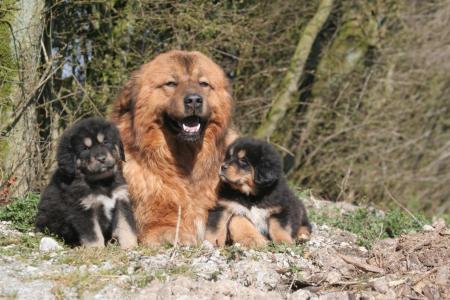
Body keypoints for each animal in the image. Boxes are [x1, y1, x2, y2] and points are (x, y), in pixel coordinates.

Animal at [35, 117, 137, 248]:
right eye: (85, 149)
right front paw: (97, 249)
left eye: (105, 142)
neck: (102, 182)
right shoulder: (83, 208)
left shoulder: (121, 200)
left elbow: (126, 227)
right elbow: (93, 234)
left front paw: (131, 246)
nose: (101, 158)